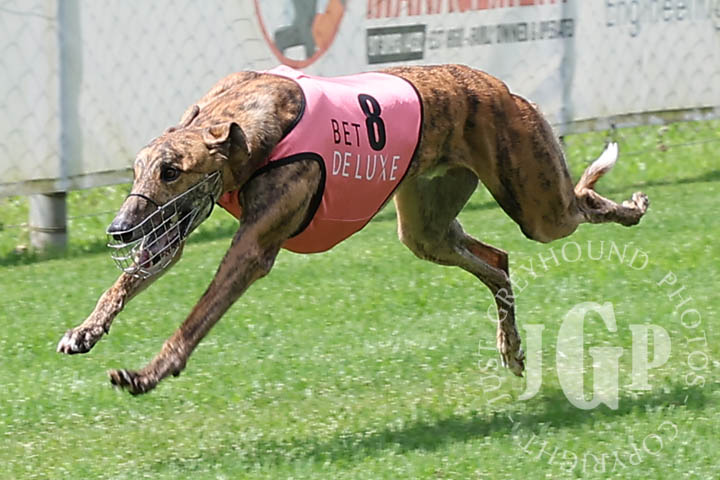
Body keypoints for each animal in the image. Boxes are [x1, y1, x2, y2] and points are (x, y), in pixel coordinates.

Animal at [56, 64, 649, 395]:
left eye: (171, 171)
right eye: (136, 170)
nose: (118, 230)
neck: (245, 124)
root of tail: (502, 87)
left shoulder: (253, 248)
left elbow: (195, 318)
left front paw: (146, 374)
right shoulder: (171, 236)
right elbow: (132, 277)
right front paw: (85, 330)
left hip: (538, 204)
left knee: (577, 204)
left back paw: (634, 206)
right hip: (426, 228)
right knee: (498, 262)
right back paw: (512, 348)